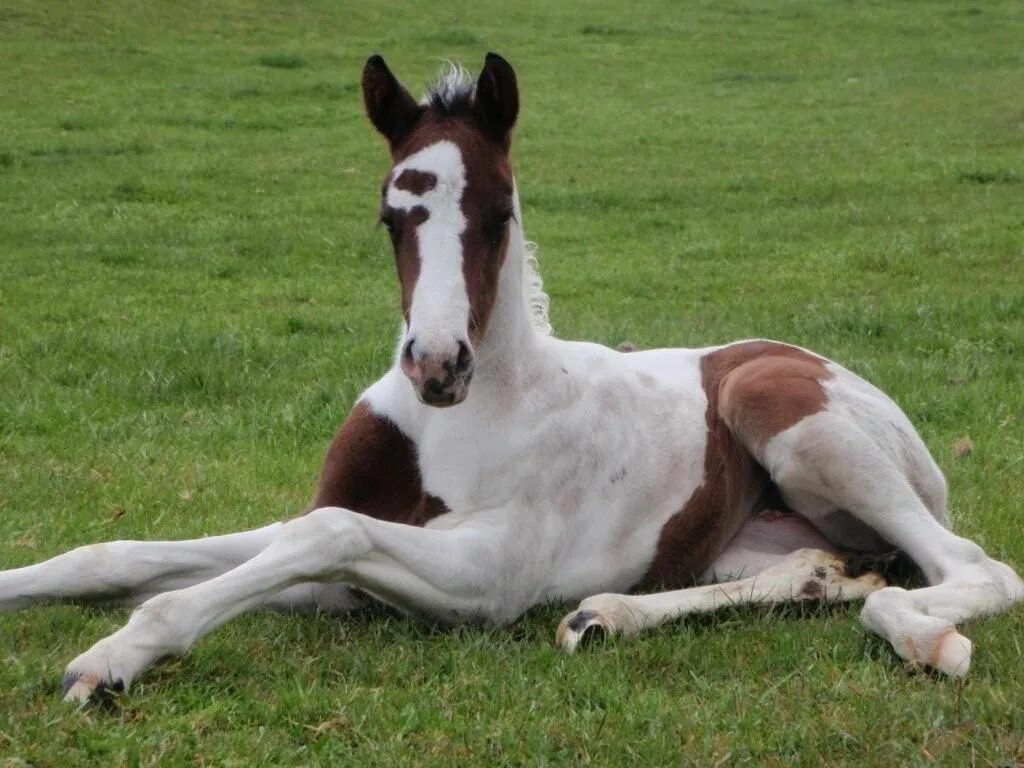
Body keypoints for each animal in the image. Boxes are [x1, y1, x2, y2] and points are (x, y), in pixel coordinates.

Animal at [0, 51, 1019, 708]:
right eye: (390, 215)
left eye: (499, 211)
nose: (437, 363)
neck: (464, 417)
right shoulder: (336, 547)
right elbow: (124, 554)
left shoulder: (486, 575)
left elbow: (325, 536)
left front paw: (111, 659)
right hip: (751, 539)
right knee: (822, 570)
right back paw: (609, 616)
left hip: (783, 410)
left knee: (965, 569)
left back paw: (923, 635)